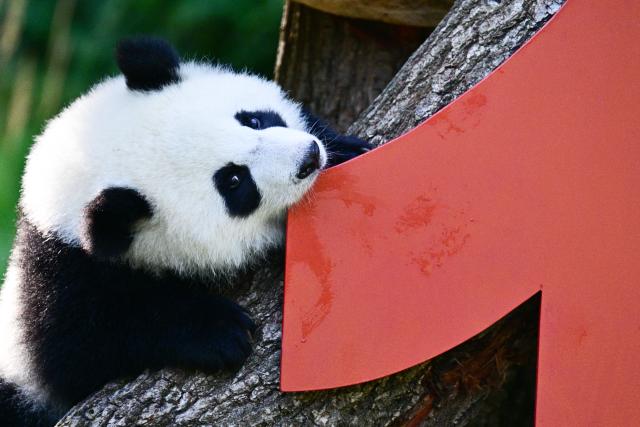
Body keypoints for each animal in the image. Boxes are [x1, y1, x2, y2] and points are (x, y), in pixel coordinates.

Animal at [0, 37, 370, 426]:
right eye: (234, 181)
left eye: (252, 119)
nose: (309, 158)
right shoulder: (59, 287)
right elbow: (85, 345)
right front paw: (221, 330)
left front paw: (344, 148)